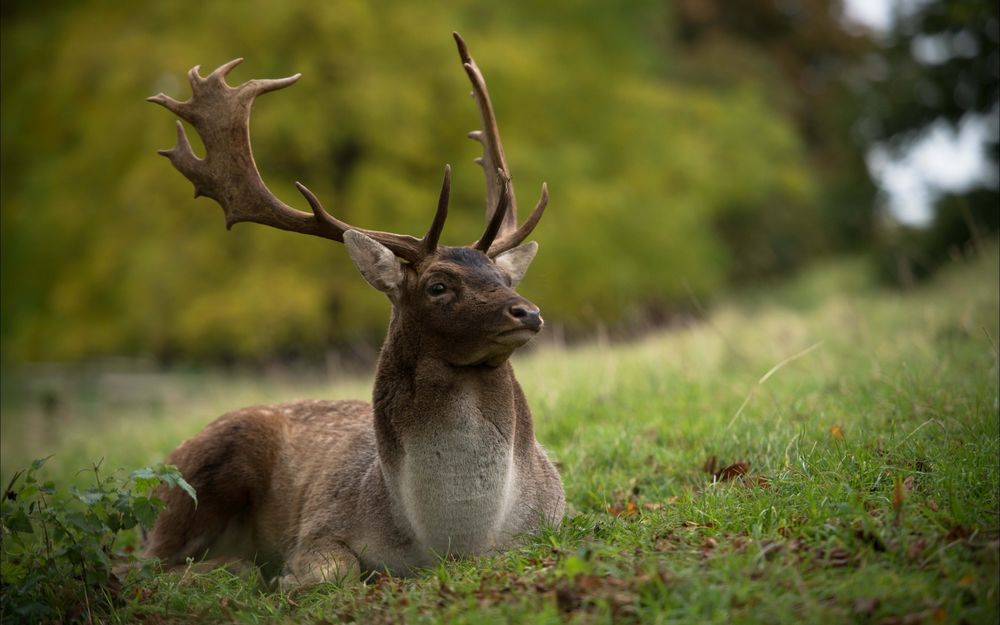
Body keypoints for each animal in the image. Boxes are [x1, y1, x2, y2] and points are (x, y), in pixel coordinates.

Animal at [143, 33, 565, 588]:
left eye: (505, 277)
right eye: (437, 285)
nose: (528, 312)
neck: (452, 540)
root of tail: (163, 461)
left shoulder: (555, 517)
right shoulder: (322, 523)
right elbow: (332, 571)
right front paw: (284, 579)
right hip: (194, 479)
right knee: (138, 565)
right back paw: (236, 565)